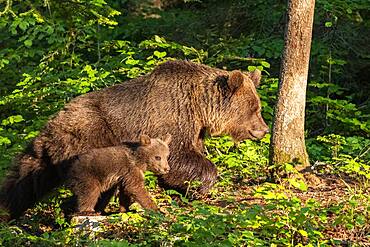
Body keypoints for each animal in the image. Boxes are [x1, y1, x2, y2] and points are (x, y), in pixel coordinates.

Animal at [0, 59, 268, 218]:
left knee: (25, 178)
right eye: (254, 108)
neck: (199, 106)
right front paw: (198, 186)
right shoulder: (170, 118)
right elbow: (179, 157)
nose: (264, 129)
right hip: (90, 140)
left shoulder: (194, 128)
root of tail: (52, 123)